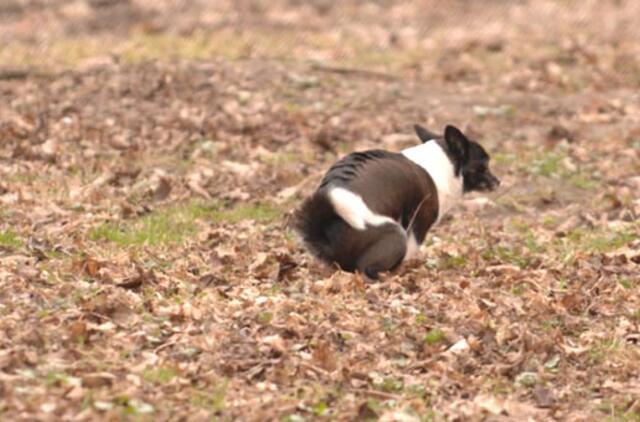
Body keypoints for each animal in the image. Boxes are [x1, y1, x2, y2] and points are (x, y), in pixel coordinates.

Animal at [294, 123, 500, 278]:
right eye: (484, 166)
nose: (498, 181)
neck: (445, 163)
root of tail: (328, 237)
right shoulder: (418, 225)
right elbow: (411, 250)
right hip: (396, 233)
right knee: (365, 268)